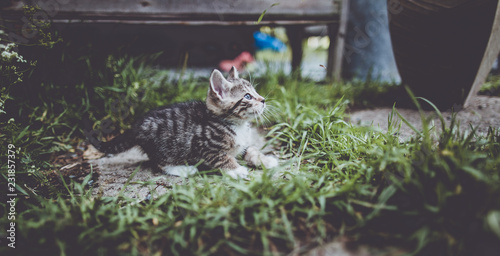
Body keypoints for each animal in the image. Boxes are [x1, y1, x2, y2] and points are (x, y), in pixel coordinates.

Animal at [90, 66, 278, 178]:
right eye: (247, 96)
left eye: (255, 92)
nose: (263, 100)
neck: (235, 124)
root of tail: (136, 125)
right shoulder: (205, 146)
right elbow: (222, 158)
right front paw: (236, 170)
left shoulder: (242, 143)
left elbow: (251, 150)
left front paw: (265, 160)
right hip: (165, 146)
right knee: (159, 163)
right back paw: (183, 169)